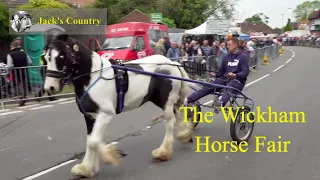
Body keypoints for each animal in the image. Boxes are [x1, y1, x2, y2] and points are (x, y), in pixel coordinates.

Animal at [43, 34, 194, 178]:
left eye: (61, 56)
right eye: (45, 58)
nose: (49, 87)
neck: (93, 77)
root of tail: (171, 63)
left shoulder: (106, 114)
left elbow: (94, 141)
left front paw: (111, 156)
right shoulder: (90, 116)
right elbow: (91, 140)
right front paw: (86, 168)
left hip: (166, 102)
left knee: (170, 123)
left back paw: (163, 152)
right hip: (166, 101)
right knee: (180, 113)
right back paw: (185, 135)